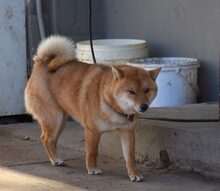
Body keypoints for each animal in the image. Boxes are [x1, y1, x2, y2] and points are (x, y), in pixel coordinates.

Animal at [24, 35, 161, 182]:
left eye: (147, 90)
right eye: (131, 91)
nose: (143, 106)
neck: (110, 103)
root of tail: (41, 63)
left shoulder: (127, 131)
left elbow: (130, 156)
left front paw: (134, 173)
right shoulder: (92, 131)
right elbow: (93, 152)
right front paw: (93, 169)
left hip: (61, 121)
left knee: (51, 139)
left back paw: (55, 157)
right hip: (55, 118)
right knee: (45, 138)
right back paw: (56, 159)